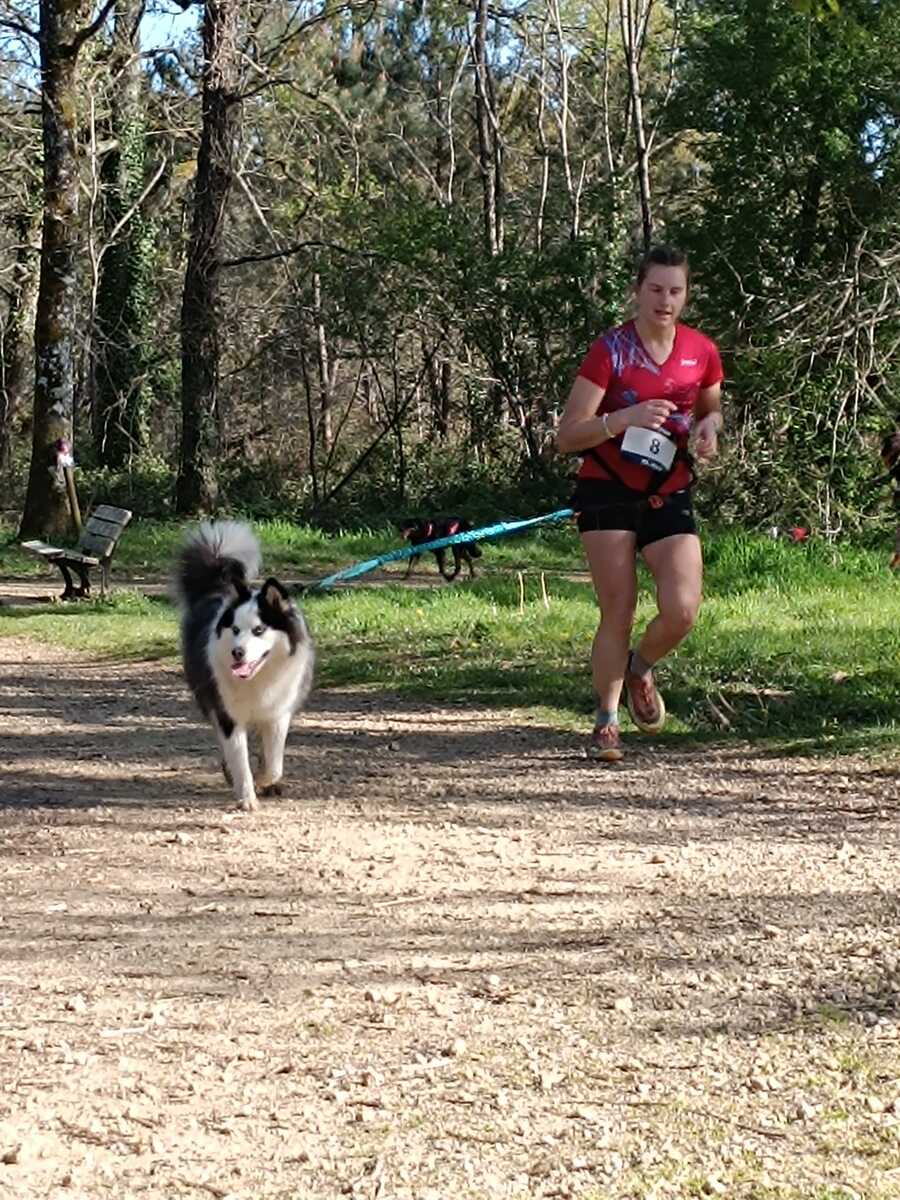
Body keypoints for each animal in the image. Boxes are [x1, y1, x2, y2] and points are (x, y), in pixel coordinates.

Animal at [174, 521, 314, 811]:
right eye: (235, 629)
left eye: (259, 629)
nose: (237, 652)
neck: (257, 679)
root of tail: (217, 586)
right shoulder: (227, 714)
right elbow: (239, 760)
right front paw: (247, 797)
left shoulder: (278, 713)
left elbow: (273, 763)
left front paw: (265, 779)